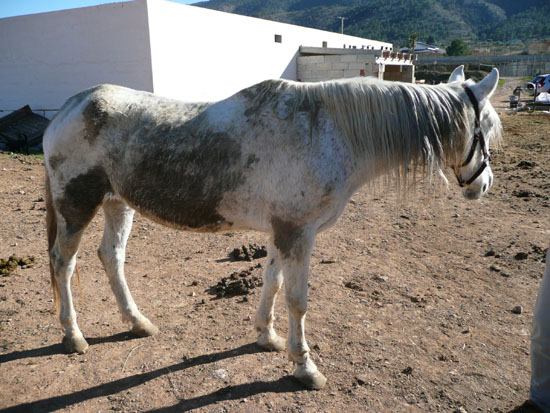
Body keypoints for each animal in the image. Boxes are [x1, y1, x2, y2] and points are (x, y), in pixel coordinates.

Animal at [43, 66, 502, 388]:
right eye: (486, 129)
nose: (483, 184)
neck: (328, 132)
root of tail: (70, 107)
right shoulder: (299, 232)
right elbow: (298, 300)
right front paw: (305, 367)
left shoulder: (283, 231)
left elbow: (273, 282)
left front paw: (267, 337)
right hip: (76, 204)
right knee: (63, 263)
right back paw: (74, 336)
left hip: (117, 202)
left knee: (111, 257)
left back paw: (137, 322)